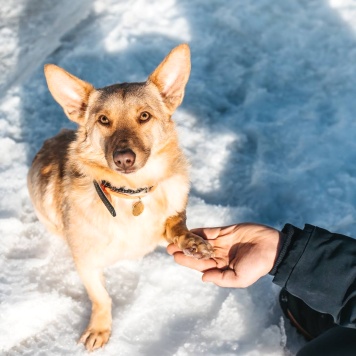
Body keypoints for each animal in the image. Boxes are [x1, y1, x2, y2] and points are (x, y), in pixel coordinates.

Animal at [27, 44, 214, 350]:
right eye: (103, 120)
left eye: (145, 116)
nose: (124, 158)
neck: (130, 193)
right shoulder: (86, 262)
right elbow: (101, 297)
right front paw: (99, 328)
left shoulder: (169, 220)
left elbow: (177, 226)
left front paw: (193, 243)